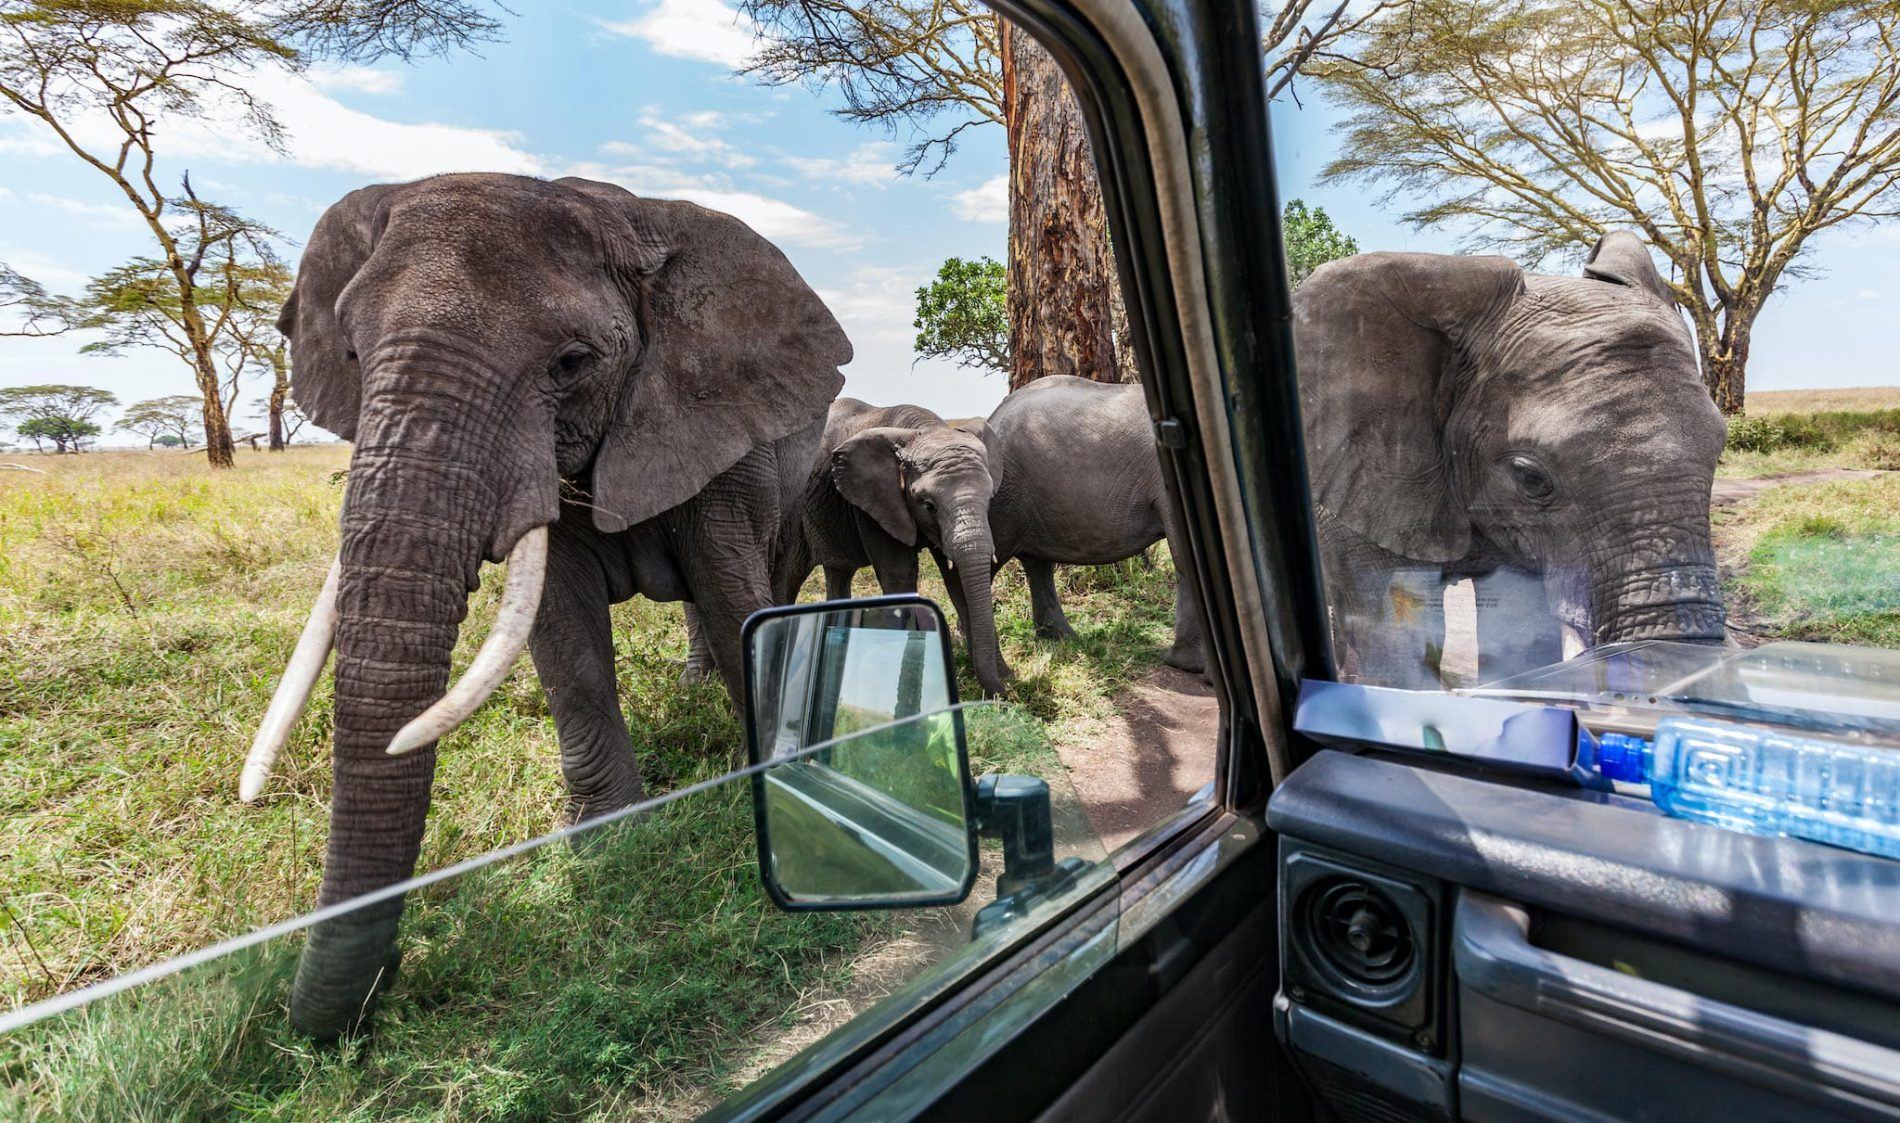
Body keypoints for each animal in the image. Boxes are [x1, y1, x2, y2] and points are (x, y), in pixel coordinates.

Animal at [241, 171, 851, 1041]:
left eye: (571, 362)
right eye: (353, 355)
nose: (388, 982)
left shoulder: (718, 423)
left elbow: (734, 592)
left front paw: (774, 785)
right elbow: (563, 637)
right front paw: (612, 842)